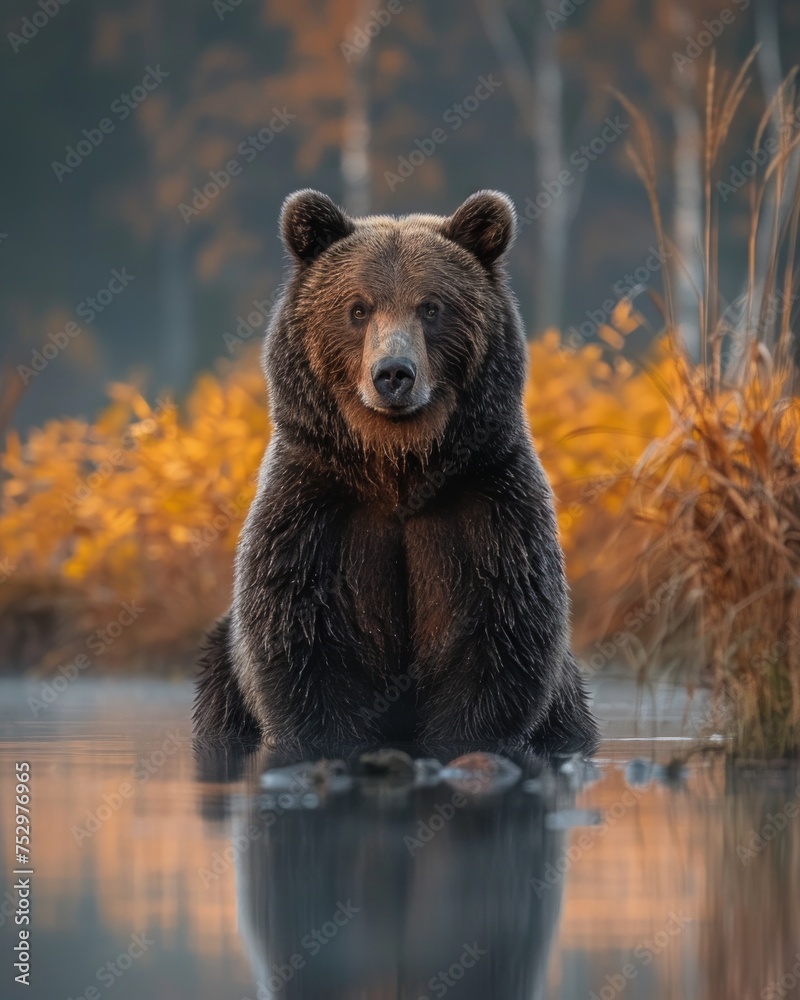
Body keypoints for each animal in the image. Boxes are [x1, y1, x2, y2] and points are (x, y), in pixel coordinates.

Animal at [193, 188, 599, 756]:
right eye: (358, 308)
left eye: (431, 307)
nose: (392, 374)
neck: (397, 468)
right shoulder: (315, 506)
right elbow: (300, 639)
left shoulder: (487, 503)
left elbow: (500, 634)